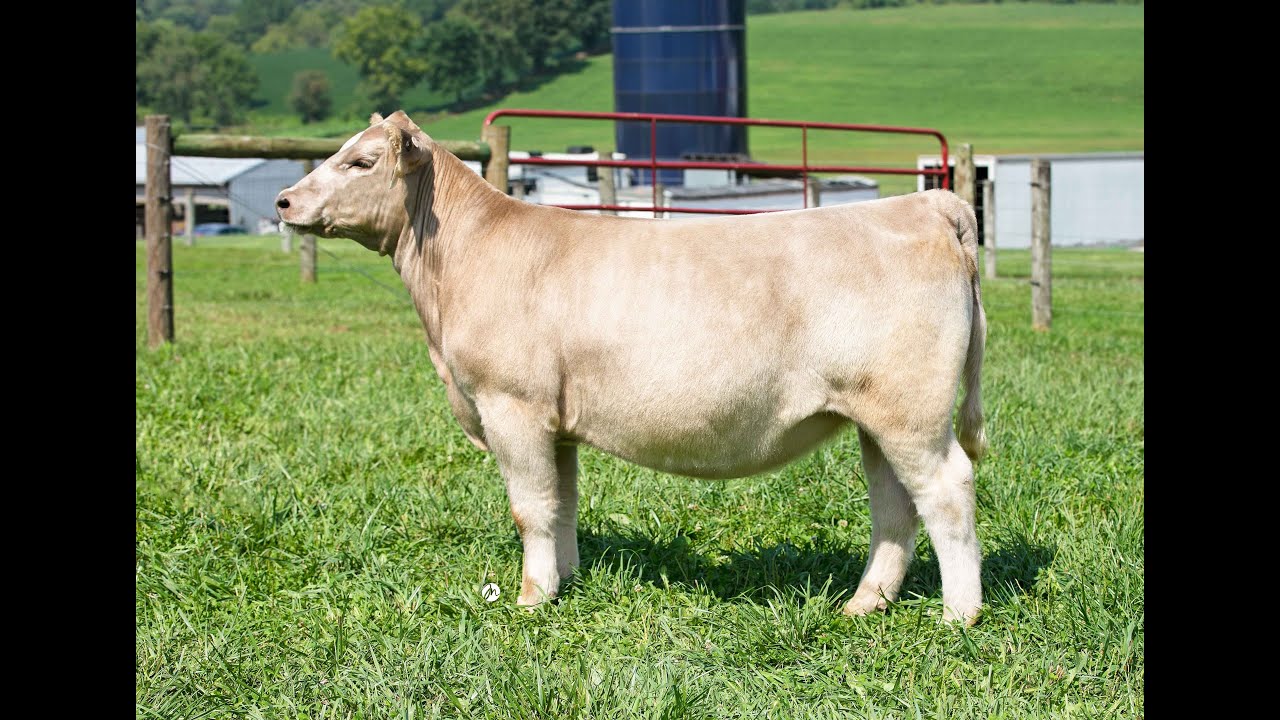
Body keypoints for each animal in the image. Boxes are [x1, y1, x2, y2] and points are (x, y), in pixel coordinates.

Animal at [276, 111, 989, 624]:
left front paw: (530, 599)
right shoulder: (556, 422)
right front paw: (563, 583)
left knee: (945, 489)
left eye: (361, 160)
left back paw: (959, 614)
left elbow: (529, 507)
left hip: (910, 410)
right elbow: (561, 503)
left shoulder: (512, 406)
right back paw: (864, 604)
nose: (283, 201)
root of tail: (925, 205)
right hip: (876, 415)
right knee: (894, 504)